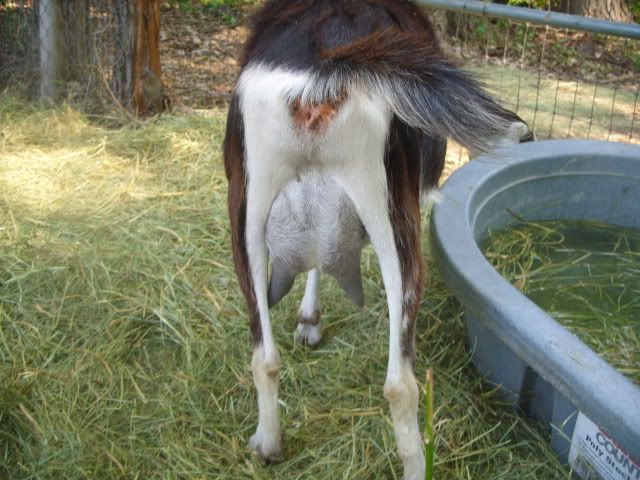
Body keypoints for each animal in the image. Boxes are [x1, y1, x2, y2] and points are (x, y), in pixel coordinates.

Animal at [223, 2, 533, 478]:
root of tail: (321, 70)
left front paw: (308, 322)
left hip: (248, 209)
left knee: (264, 356)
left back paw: (267, 444)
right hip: (392, 214)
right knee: (400, 384)